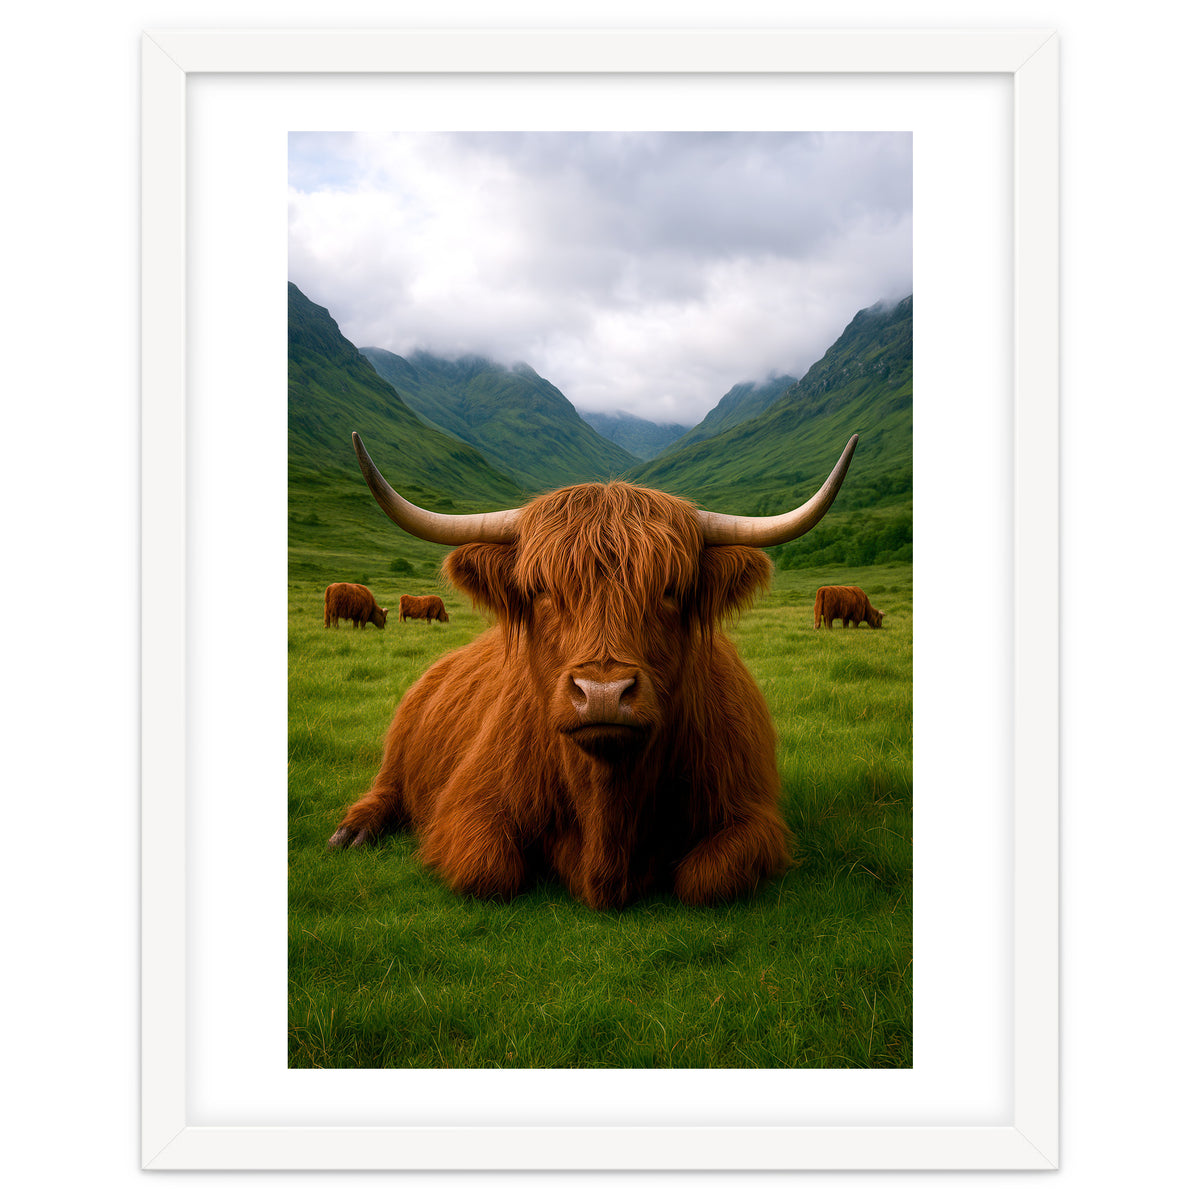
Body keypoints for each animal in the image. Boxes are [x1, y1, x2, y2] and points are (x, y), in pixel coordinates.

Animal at [328, 431, 858, 910]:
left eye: (671, 590)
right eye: (541, 589)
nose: (602, 693)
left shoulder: (751, 815)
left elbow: (706, 880)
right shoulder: (467, 804)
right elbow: (489, 870)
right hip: (400, 745)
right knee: (387, 787)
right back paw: (352, 832)